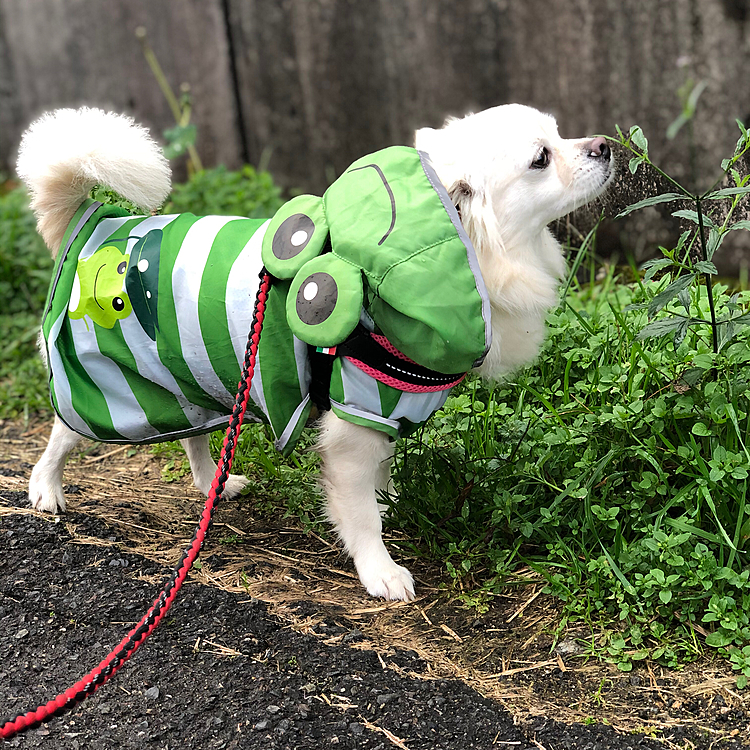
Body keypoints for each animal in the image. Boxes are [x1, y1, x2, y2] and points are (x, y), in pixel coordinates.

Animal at [16, 103, 616, 604]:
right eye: (542, 158)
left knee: (193, 438)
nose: (606, 144)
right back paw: (45, 490)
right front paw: (380, 570)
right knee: (63, 432)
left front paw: (390, 503)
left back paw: (214, 485)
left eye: (560, 132)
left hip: (188, 378)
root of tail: (92, 225)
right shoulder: (355, 419)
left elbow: (380, 483)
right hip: (114, 388)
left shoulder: (384, 410)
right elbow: (361, 513)